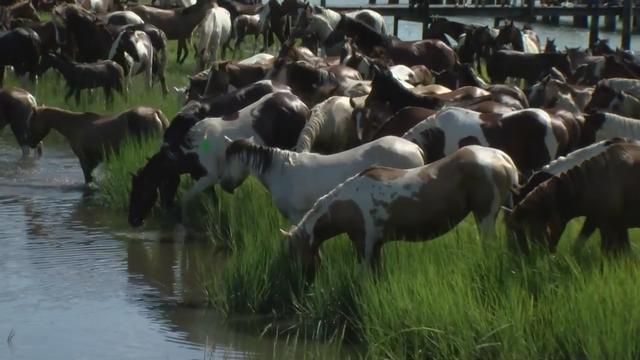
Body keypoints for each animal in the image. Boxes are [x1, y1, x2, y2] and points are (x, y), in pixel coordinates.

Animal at [26, 105, 169, 183]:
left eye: (31, 121)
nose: (30, 142)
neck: (74, 126)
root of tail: (156, 112)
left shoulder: (84, 161)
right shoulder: (94, 161)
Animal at [284, 145, 520, 274]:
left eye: (293, 252)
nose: (299, 281)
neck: (350, 204)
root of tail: (502, 157)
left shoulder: (365, 245)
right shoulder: (376, 246)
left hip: (485, 217)